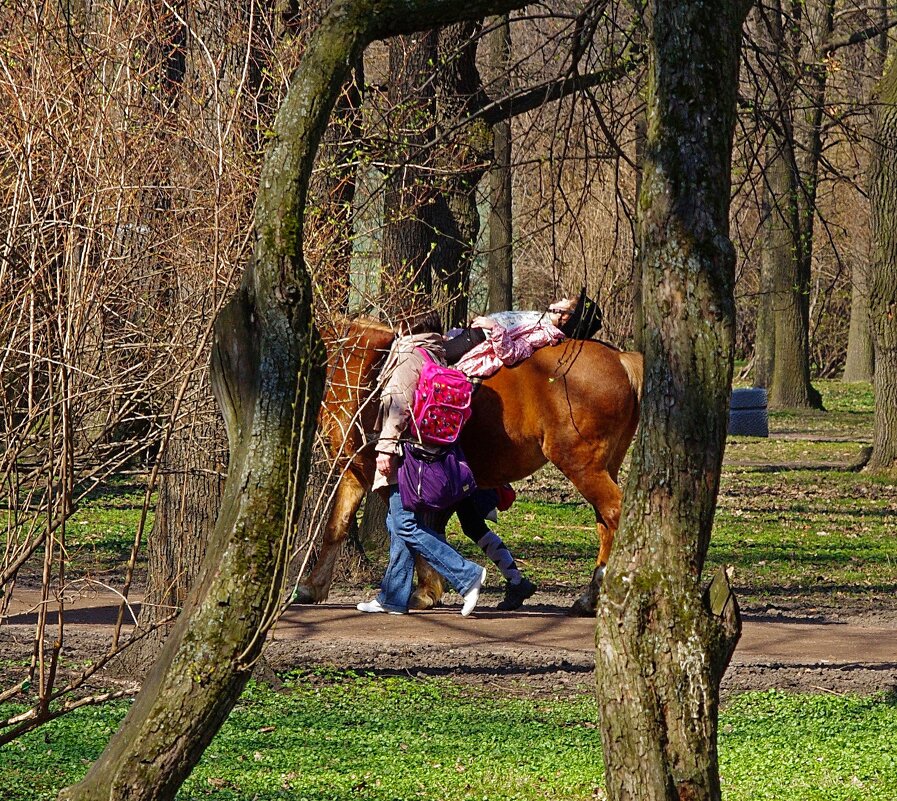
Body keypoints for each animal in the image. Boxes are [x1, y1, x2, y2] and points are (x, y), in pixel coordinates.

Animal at [296, 316, 644, 616]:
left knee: (614, 515)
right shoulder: (355, 471)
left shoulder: (387, 478)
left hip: (582, 466)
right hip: (603, 467)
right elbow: (337, 527)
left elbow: (416, 534)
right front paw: (312, 587)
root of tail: (621, 359)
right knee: (605, 524)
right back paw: (588, 597)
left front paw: (426, 591)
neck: (364, 371)